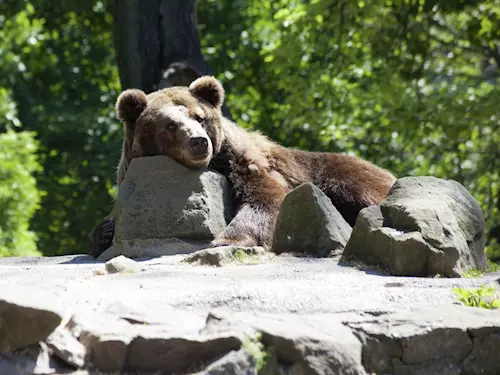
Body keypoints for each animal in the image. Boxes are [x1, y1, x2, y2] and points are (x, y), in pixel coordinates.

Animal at [88, 76, 396, 258]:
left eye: (199, 117)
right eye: (170, 125)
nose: (198, 142)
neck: (215, 162)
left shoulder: (245, 162)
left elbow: (265, 199)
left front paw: (228, 240)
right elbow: (106, 225)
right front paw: (103, 235)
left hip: (340, 175)